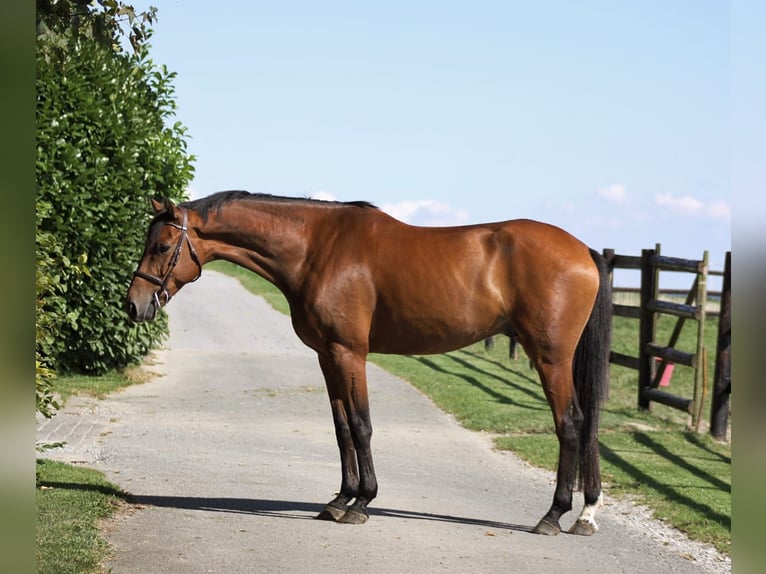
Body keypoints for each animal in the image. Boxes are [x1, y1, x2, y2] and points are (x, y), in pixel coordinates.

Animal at [129, 191, 616, 536]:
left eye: (164, 245)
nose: (135, 305)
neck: (316, 248)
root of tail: (585, 251)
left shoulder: (350, 353)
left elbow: (362, 425)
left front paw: (362, 503)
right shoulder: (327, 355)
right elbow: (342, 428)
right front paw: (340, 500)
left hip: (551, 358)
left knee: (571, 424)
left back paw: (553, 516)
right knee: (587, 423)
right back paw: (585, 514)